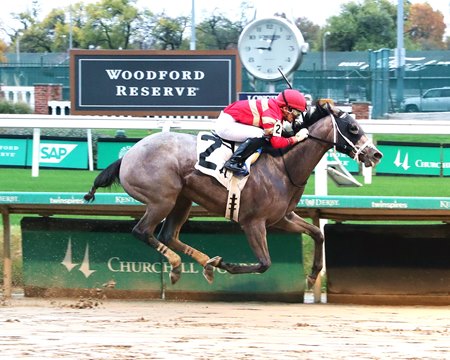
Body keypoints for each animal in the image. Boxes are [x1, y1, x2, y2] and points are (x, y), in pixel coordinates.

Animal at [84, 103, 384, 286]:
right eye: (353, 128)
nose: (375, 154)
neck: (283, 165)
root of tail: (127, 156)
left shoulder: (282, 218)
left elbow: (317, 234)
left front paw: (312, 276)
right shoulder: (253, 222)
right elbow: (264, 263)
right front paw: (226, 264)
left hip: (183, 199)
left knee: (167, 235)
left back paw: (205, 263)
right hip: (162, 199)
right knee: (142, 231)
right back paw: (181, 265)